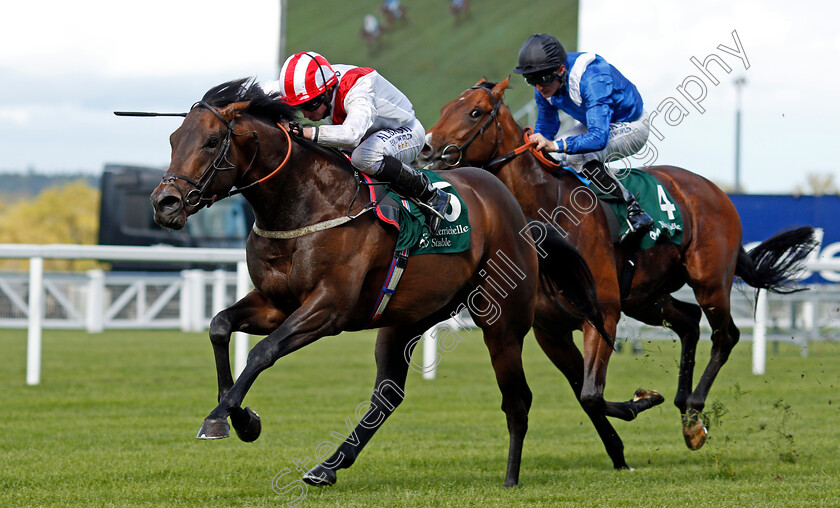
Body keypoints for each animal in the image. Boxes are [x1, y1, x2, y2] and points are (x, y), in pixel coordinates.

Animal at [151, 77, 608, 486]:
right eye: (173, 139)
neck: (307, 203)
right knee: (387, 396)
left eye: (212, 141)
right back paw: (327, 467)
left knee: (517, 399)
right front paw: (242, 419)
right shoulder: (274, 303)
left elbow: (263, 352)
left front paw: (220, 418)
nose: (164, 203)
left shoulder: (328, 308)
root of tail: (517, 212)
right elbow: (219, 327)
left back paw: (512, 478)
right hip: (407, 320)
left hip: (503, 322)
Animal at [424, 77, 816, 470]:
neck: (550, 214)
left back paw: (694, 417)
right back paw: (683, 407)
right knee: (689, 322)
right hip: (645, 297)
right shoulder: (550, 330)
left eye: (475, 112)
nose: (427, 148)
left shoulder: (604, 315)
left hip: (710, 282)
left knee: (725, 335)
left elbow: (591, 394)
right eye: (444, 108)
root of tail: (715, 191)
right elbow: (584, 394)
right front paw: (622, 446)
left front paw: (642, 401)